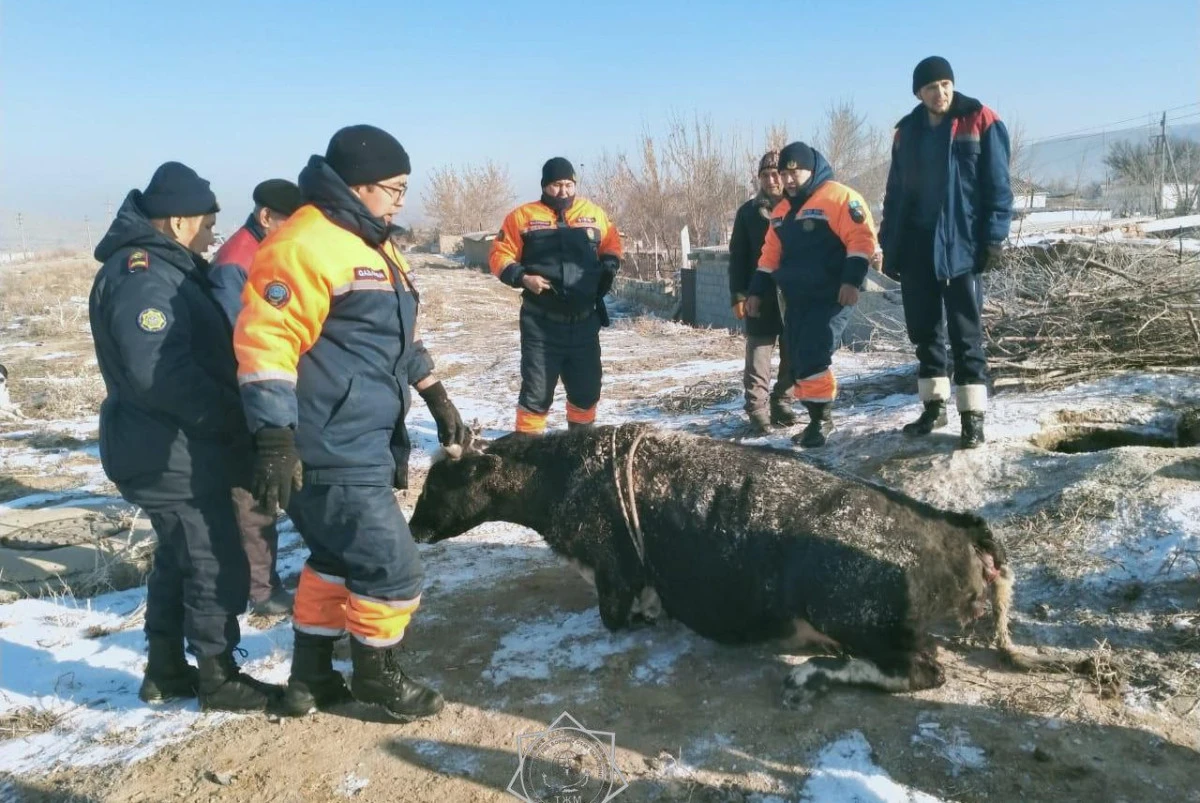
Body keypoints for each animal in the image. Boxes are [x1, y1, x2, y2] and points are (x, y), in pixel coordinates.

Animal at [412, 422, 1032, 705]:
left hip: (850, 610)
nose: (414, 528)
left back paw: (812, 674)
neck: (567, 474)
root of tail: (954, 525)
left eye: (440, 480)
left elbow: (616, 616)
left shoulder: (614, 572)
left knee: (920, 670)